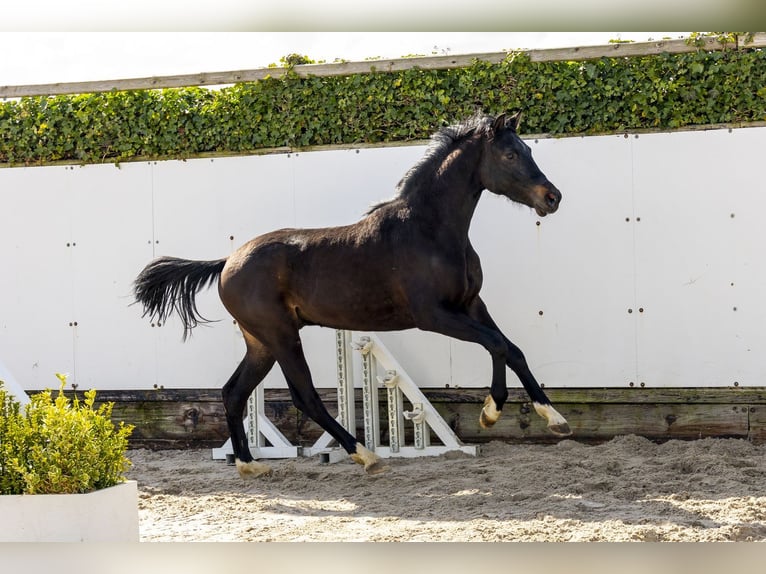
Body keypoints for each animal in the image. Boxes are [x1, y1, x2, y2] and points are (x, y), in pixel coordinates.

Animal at [133, 111, 569, 477]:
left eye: (528, 149)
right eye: (510, 154)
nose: (552, 197)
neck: (430, 231)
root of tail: (227, 261)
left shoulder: (471, 304)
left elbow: (510, 348)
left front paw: (548, 418)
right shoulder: (434, 315)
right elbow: (496, 344)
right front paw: (494, 411)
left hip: (260, 342)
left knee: (233, 392)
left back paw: (249, 464)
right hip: (281, 336)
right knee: (303, 396)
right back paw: (364, 453)